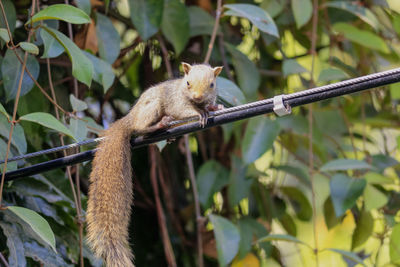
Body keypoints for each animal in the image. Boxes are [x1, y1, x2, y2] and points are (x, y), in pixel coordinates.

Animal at [86, 62, 223, 267]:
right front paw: (202, 113)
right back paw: (159, 125)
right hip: (152, 109)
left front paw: (215, 106)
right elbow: (185, 111)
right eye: (188, 83)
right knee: (141, 129)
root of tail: (130, 118)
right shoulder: (177, 102)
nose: (198, 96)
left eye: (212, 84)